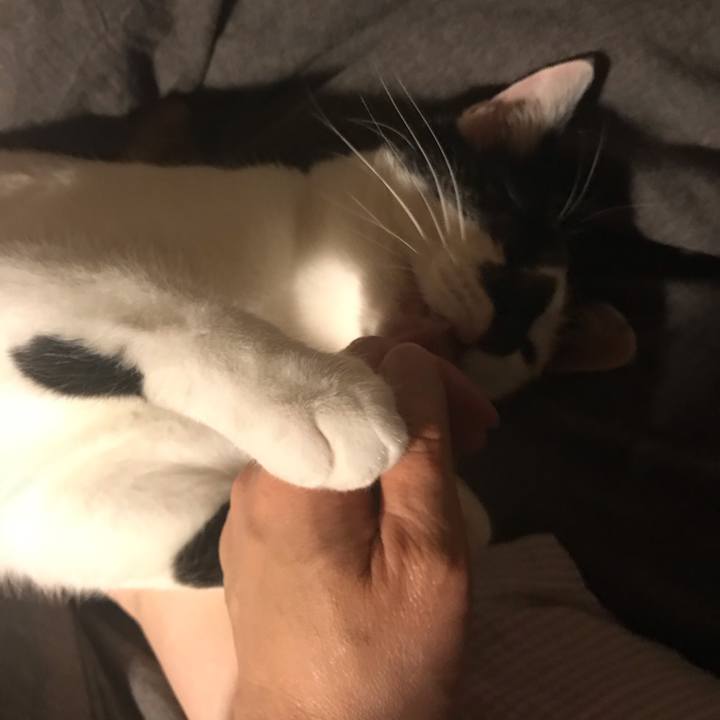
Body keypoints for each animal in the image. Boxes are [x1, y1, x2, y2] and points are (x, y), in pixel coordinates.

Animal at [0, 58, 633, 593]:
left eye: (531, 346)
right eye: (504, 216)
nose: (515, 314)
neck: (292, 309)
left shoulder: (58, 513)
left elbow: (199, 546)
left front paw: (456, 509)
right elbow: (138, 295)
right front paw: (316, 397)